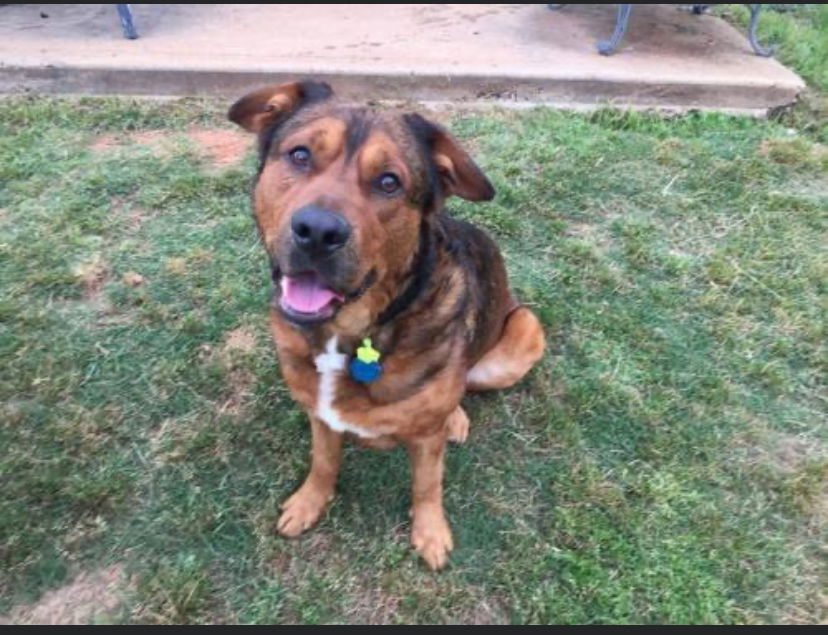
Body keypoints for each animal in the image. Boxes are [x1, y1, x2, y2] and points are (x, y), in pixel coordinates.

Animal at [230, 80, 548, 572]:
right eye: (300, 155)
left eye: (388, 182)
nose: (317, 232)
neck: (350, 334)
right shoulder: (318, 415)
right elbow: (323, 462)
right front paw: (309, 503)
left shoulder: (425, 443)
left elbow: (427, 485)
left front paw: (431, 534)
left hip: (524, 332)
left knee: (466, 382)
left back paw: (455, 417)